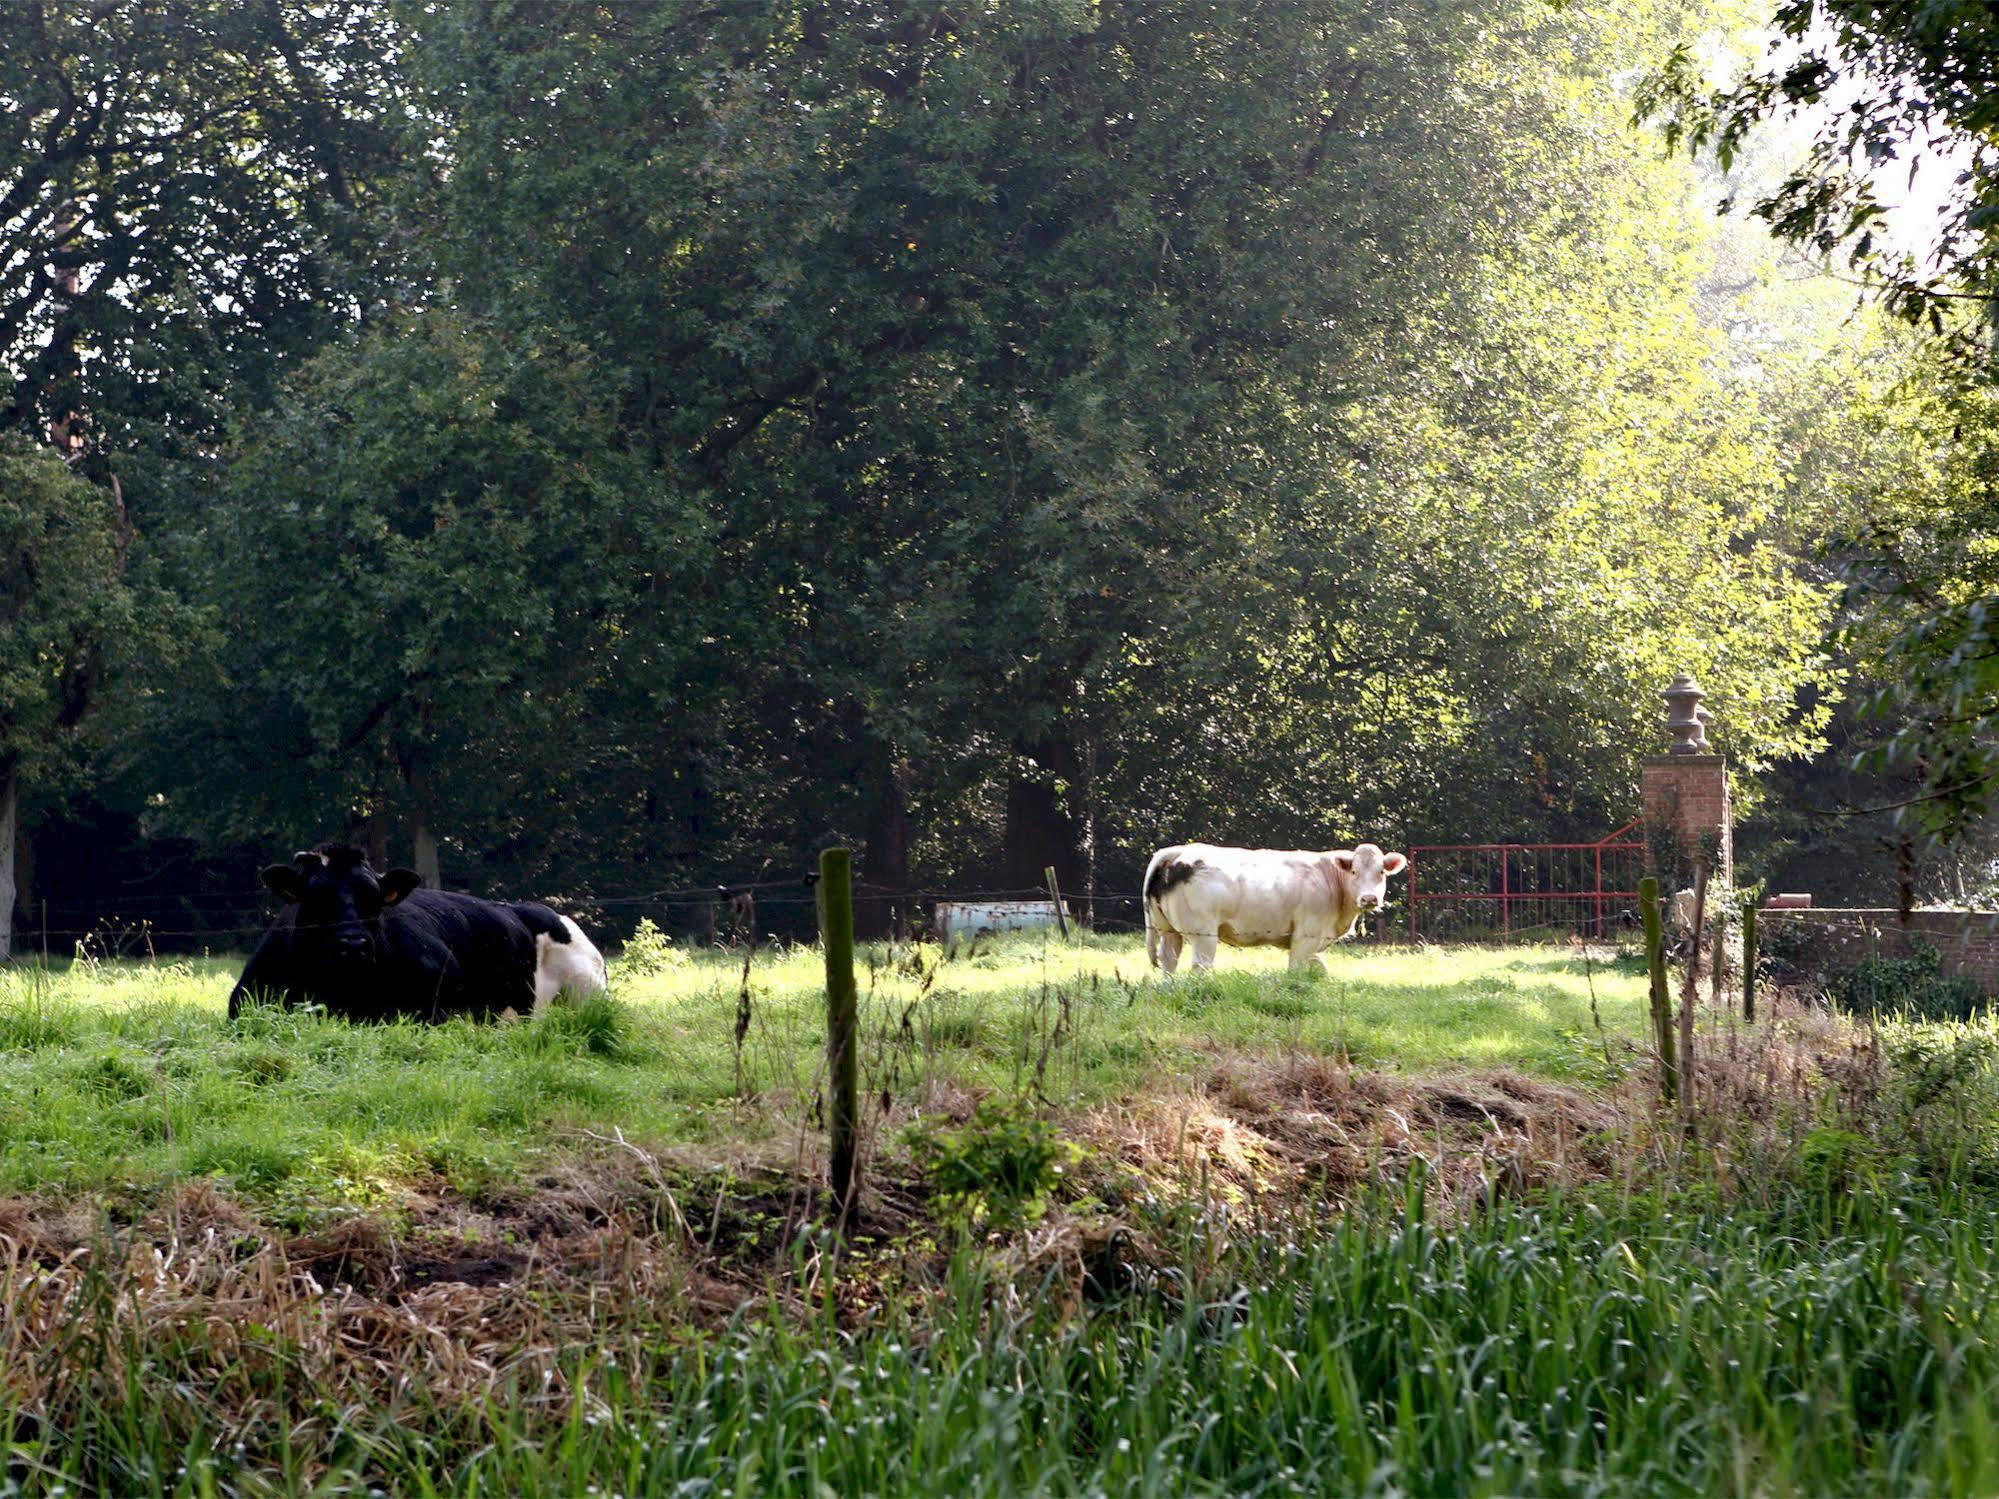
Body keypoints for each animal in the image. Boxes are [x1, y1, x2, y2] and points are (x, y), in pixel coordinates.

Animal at [1143, 839, 1407, 979]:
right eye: (1354, 871)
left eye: (1381, 872)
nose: (1369, 898)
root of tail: (1179, 851)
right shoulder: (1305, 937)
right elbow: (1296, 970)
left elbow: (1320, 968)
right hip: (1203, 934)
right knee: (1200, 966)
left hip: (1169, 931)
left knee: (1169, 960)